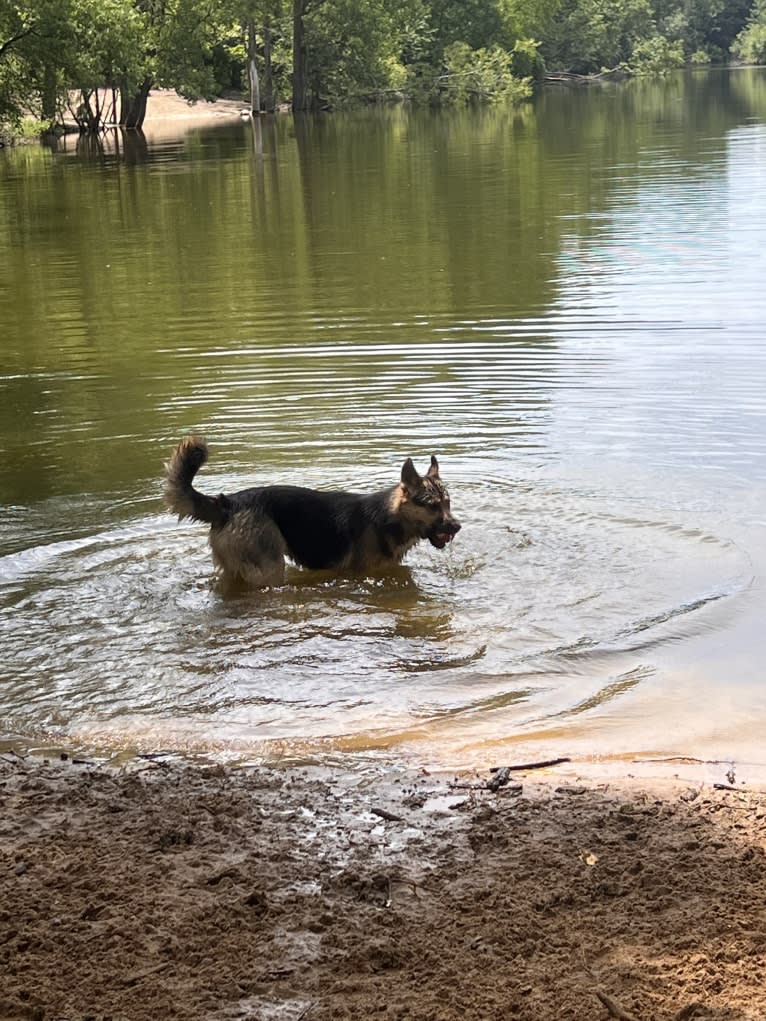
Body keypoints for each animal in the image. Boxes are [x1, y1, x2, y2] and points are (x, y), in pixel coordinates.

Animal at [163, 434, 461, 588]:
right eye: (432, 506)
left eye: (448, 503)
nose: (457, 526)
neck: (390, 518)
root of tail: (227, 503)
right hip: (270, 568)